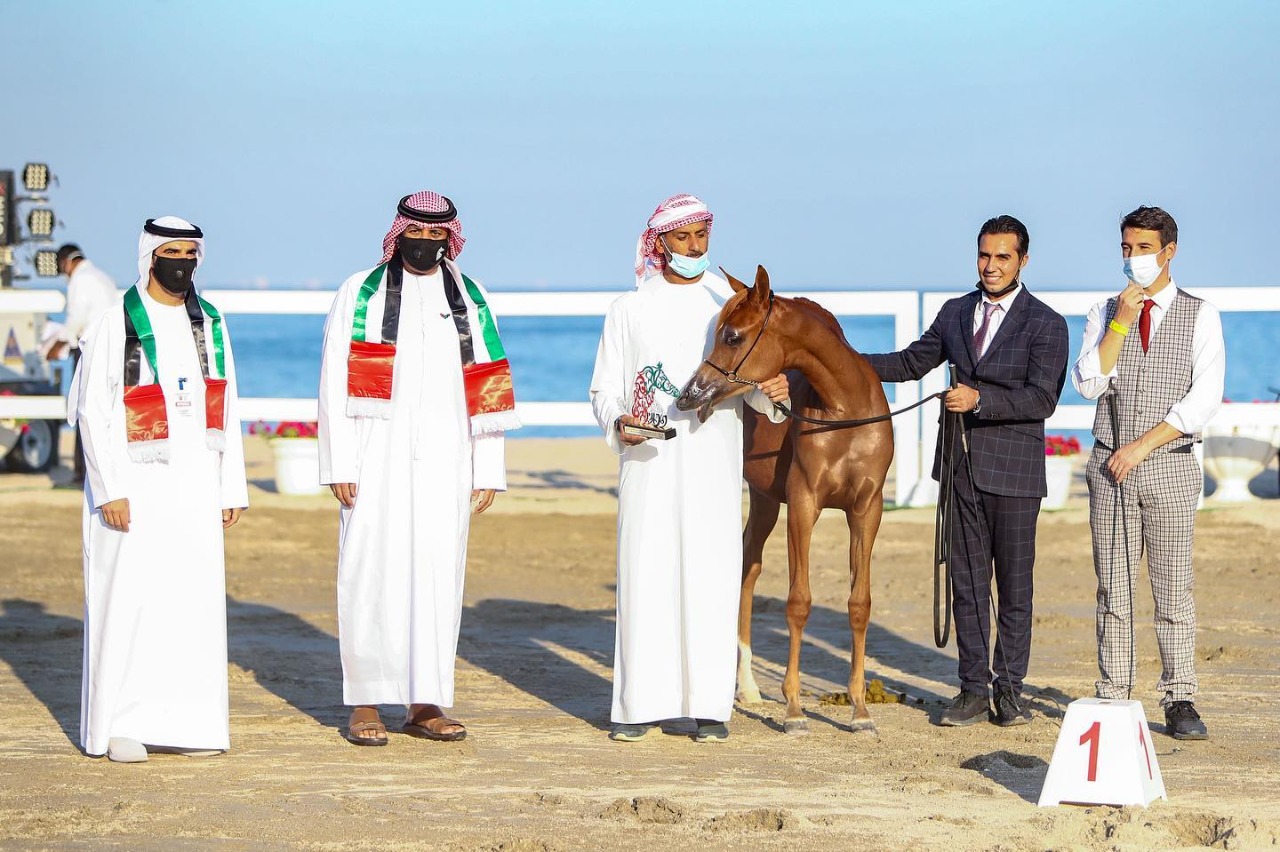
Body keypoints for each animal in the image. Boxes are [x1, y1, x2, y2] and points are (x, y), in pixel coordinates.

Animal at [680, 266, 890, 731]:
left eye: (733, 336)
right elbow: (799, 602)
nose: (690, 394)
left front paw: (860, 710)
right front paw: (793, 708)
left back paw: (748, 687)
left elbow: (860, 603)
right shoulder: (804, 503)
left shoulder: (867, 509)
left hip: (764, 502)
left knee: (747, 568)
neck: (845, 410)